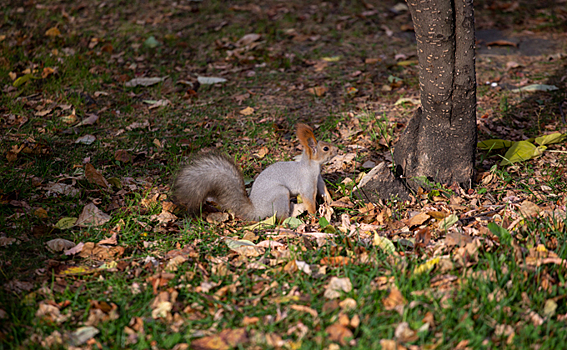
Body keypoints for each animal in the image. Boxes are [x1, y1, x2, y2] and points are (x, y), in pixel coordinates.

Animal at [172, 124, 338, 220]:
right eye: (325, 148)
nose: (337, 149)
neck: (311, 167)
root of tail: (256, 210)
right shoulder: (307, 184)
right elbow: (309, 200)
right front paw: (314, 216)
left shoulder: (318, 179)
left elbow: (324, 191)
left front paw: (331, 202)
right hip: (280, 193)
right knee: (280, 219)